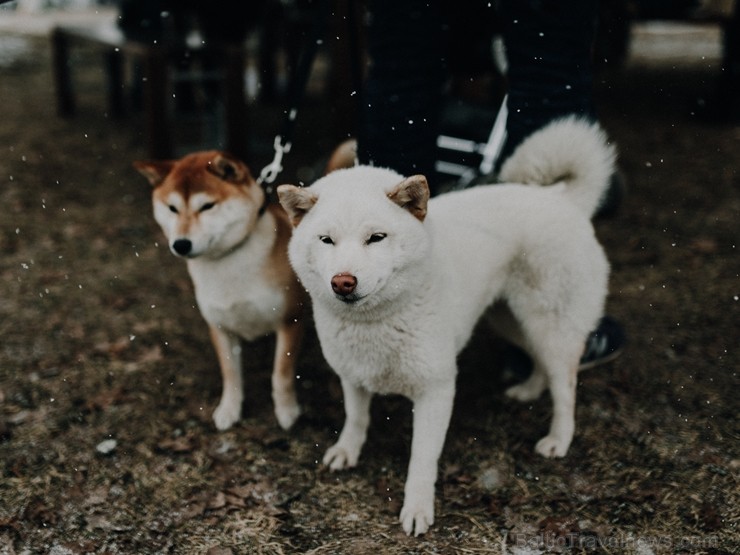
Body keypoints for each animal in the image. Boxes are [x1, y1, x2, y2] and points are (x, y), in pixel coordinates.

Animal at [134, 151, 306, 430]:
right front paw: (229, 410)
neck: (227, 260)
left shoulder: (290, 319)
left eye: (207, 206)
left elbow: (281, 374)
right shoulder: (220, 326)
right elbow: (231, 373)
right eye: (172, 208)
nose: (181, 244)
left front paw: (287, 411)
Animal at [276, 118, 612, 540]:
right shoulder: (353, 374)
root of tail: (562, 198)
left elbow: (422, 459)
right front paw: (347, 450)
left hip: (549, 324)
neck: (377, 323)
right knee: (540, 364)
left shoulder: (436, 390)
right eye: (326, 240)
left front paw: (417, 509)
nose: (343, 282)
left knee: (565, 385)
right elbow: (356, 417)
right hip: (512, 321)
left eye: (376, 237)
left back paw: (558, 439)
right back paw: (528, 389)